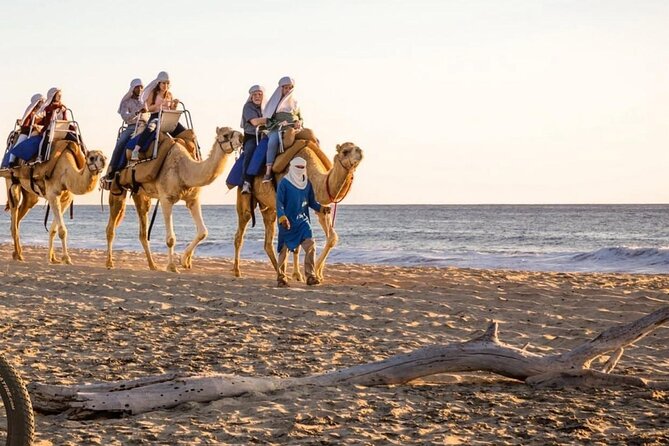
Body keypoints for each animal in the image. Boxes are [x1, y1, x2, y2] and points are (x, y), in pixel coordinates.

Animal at [105, 126, 241, 272]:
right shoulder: (166, 199)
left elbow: (203, 232)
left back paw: (152, 265)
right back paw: (109, 263)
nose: (242, 137)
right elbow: (171, 239)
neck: (183, 170)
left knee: (143, 232)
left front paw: (185, 261)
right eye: (226, 135)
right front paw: (172, 267)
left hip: (140, 194)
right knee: (111, 228)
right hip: (117, 188)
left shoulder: (193, 199)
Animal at [233, 140, 363, 282]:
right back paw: (237, 271)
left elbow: (331, 237)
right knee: (241, 230)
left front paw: (311, 274)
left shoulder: (320, 205)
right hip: (244, 196)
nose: (360, 151)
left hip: (269, 208)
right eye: (345, 151)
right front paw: (313, 272)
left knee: (268, 240)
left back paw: (279, 272)